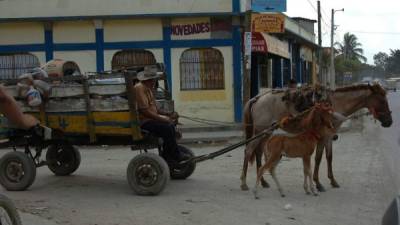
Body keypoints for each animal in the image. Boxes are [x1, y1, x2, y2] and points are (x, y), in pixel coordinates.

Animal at [239, 84, 392, 192]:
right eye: (382, 101)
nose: (389, 122)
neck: (334, 105)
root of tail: (257, 98)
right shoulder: (323, 136)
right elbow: (318, 158)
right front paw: (318, 183)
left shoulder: (330, 136)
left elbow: (329, 157)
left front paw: (332, 181)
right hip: (260, 130)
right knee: (248, 150)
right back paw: (244, 183)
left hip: (267, 132)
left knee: (258, 152)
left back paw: (263, 182)